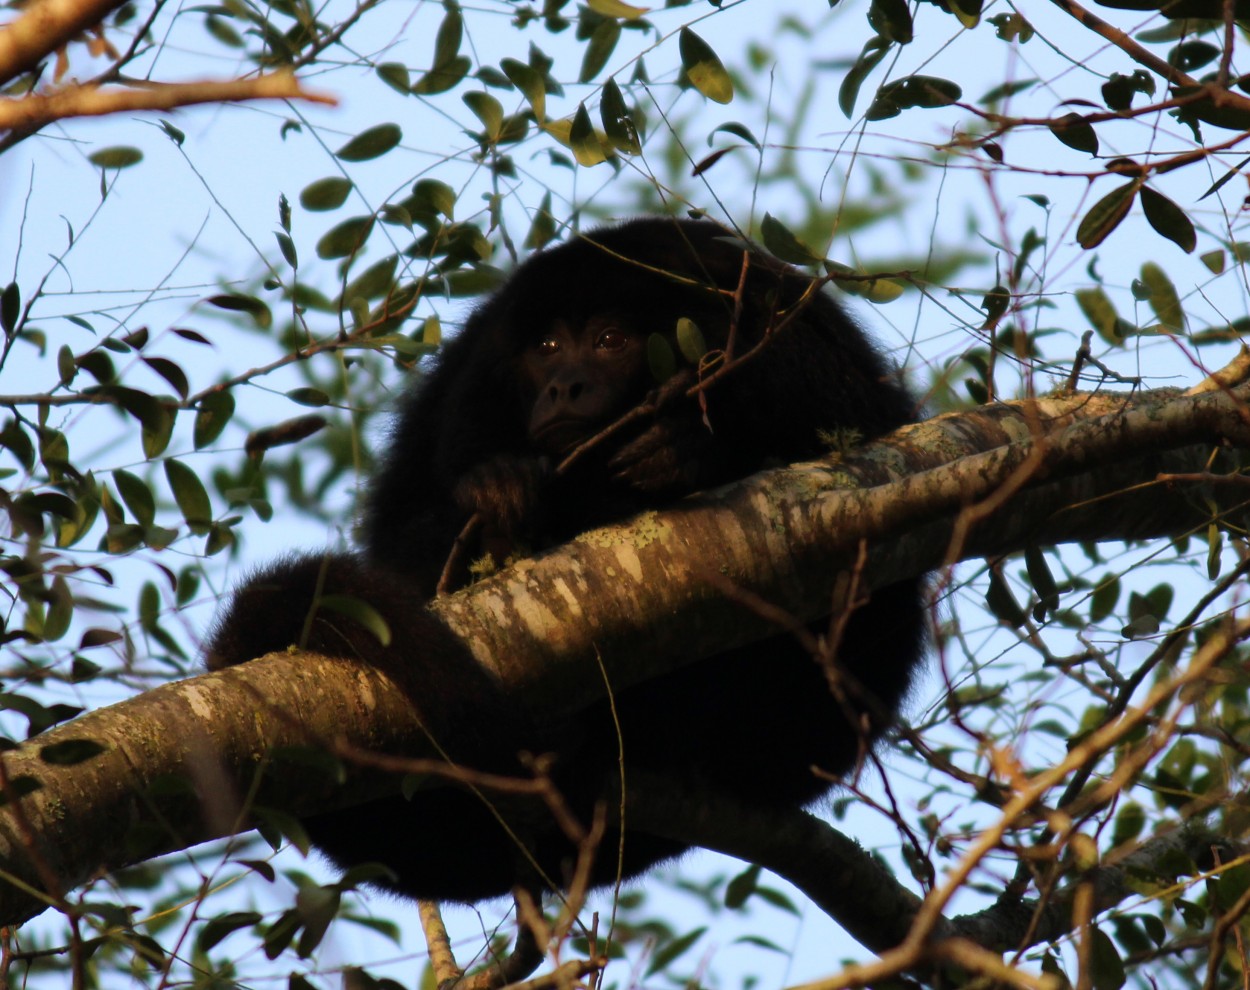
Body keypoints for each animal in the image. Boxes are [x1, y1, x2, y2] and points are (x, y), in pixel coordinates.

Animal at [205, 216, 925, 905]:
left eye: (610, 340)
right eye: (547, 348)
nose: (562, 386)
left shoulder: (788, 335)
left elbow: (844, 430)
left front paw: (684, 450)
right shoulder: (476, 376)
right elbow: (410, 536)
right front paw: (500, 493)